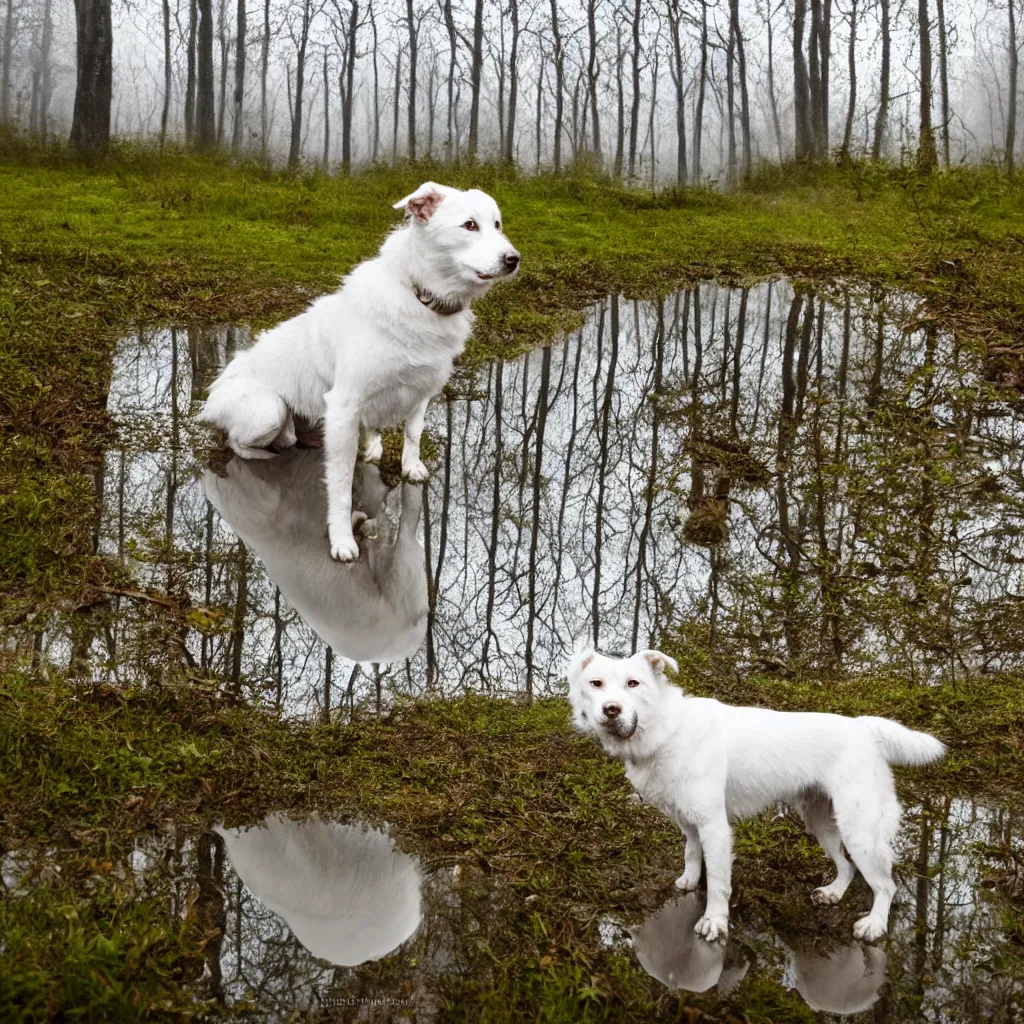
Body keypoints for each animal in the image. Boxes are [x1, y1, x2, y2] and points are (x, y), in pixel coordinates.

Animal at [199, 185, 520, 569]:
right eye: (469, 225)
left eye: (498, 224)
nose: (514, 259)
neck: (421, 297)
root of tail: (210, 397)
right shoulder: (344, 407)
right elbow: (339, 486)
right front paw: (342, 541)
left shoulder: (422, 391)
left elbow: (412, 435)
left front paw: (407, 466)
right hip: (268, 411)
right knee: (238, 443)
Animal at [569, 647, 942, 942]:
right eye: (595, 684)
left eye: (634, 683)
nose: (611, 710)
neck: (667, 729)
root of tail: (863, 727)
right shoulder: (688, 821)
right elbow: (691, 854)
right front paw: (690, 880)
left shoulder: (715, 828)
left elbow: (718, 882)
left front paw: (715, 922)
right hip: (822, 822)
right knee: (847, 867)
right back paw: (833, 893)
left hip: (859, 829)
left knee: (885, 885)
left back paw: (874, 925)